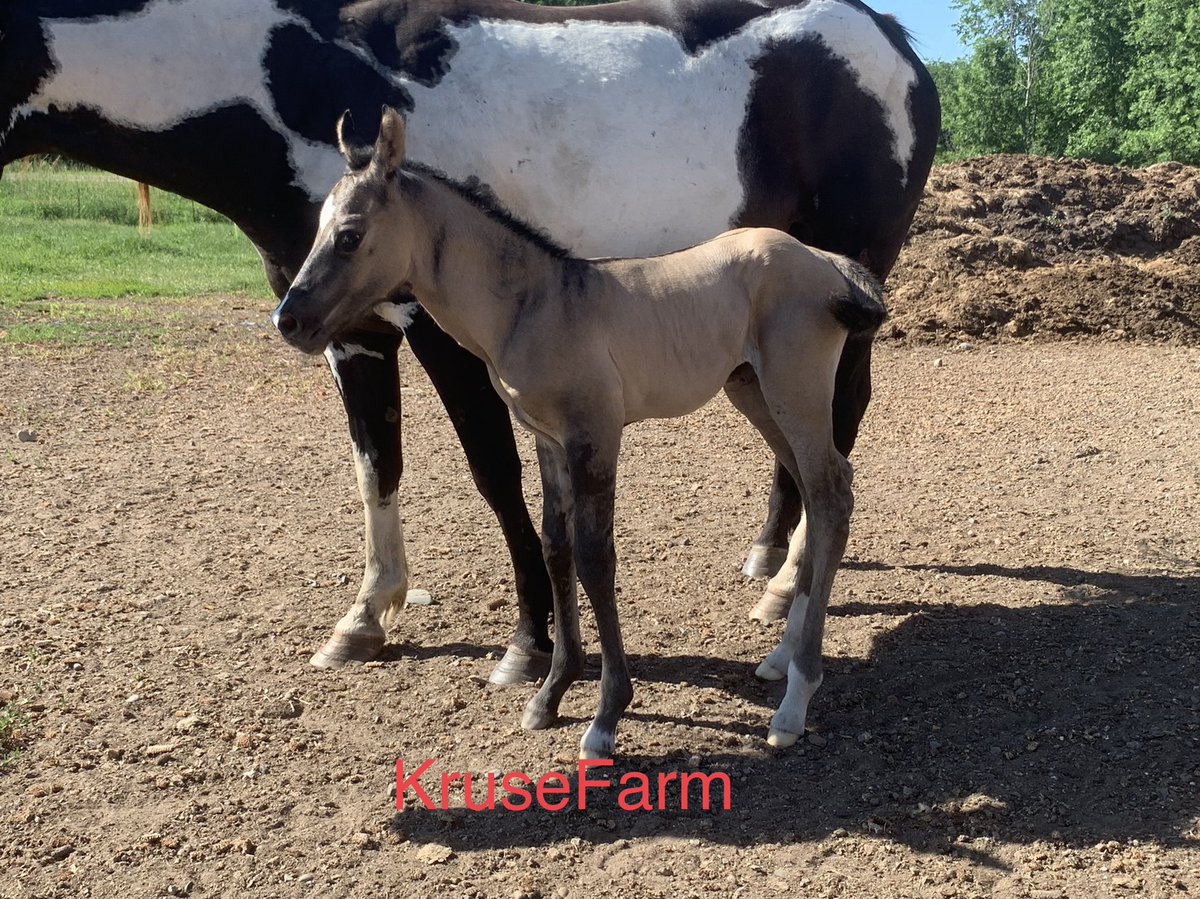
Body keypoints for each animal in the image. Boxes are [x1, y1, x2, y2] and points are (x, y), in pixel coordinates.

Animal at [0, 0, 939, 684]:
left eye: (354, 232)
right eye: (331, 236)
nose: (287, 321)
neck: (291, 71)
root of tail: (893, 41)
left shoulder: (445, 342)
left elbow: (495, 476)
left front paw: (529, 645)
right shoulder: (354, 334)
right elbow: (376, 466)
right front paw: (364, 616)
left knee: (838, 426)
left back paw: (787, 588)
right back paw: (770, 559)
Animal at [273, 108, 887, 756]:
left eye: (349, 235)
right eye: (318, 229)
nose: (289, 319)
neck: (533, 305)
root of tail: (825, 263)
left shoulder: (596, 434)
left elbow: (596, 557)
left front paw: (606, 715)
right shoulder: (549, 440)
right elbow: (556, 548)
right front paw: (550, 692)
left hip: (795, 391)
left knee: (829, 494)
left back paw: (795, 700)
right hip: (755, 394)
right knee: (821, 488)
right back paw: (779, 657)